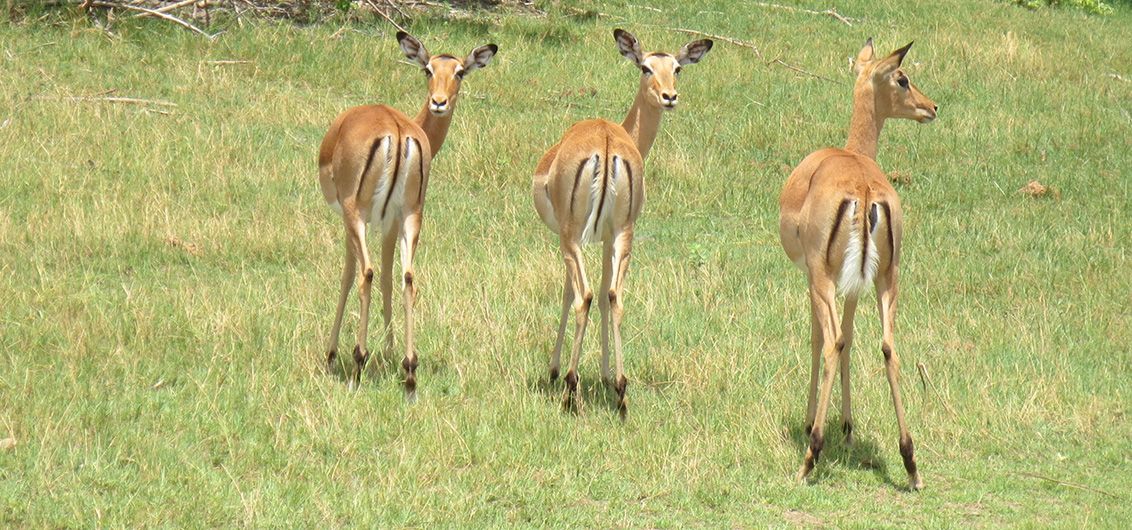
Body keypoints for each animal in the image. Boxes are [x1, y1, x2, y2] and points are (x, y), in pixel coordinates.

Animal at [318, 31, 497, 392]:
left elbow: (349, 276)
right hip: (413, 217)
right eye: (428, 69)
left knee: (366, 272)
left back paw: (357, 363)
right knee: (408, 276)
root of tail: (398, 132)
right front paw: (389, 353)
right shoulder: (391, 222)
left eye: (460, 72)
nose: (439, 102)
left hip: (356, 214)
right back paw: (410, 368)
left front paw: (332, 355)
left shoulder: (352, 219)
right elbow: (391, 277)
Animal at [532, 29, 713, 416]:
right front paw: (604, 376)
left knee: (583, 295)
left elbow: (572, 294)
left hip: (571, 238)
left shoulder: (578, 239)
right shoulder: (606, 238)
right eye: (647, 67)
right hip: (623, 236)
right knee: (615, 296)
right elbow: (606, 295)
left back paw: (570, 388)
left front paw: (556, 371)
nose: (669, 96)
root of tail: (606, 142)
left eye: (677, 68)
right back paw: (620, 390)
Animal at [779, 39, 937, 490]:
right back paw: (911, 463)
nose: (932, 106)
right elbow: (852, 339)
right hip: (887, 281)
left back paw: (810, 456)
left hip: (824, 280)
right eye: (903, 79)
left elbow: (821, 340)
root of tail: (865, 191)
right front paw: (849, 430)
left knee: (831, 342)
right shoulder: (855, 287)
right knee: (888, 347)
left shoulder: (817, 279)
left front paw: (815, 423)